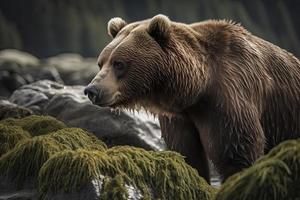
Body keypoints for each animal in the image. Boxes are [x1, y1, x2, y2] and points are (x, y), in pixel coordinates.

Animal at [84, 14, 300, 183]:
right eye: (101, 63)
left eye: (119, 63)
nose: (92, 90)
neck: (197, 89)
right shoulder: (180, 118)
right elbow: (187, 151)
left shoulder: (230, 96)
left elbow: (237, 149)